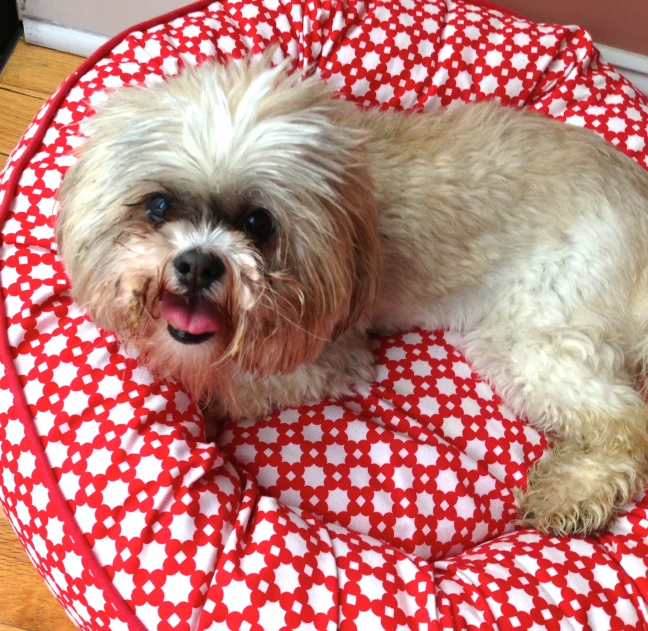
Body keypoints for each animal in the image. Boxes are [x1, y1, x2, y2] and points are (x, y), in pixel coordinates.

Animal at [55, 55, 648, 540]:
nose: (199, 262)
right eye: (158, 205)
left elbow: (230, 383)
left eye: (259, 223)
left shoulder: (328, 357)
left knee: (627, 424)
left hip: (535, 334)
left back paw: (572, 493)